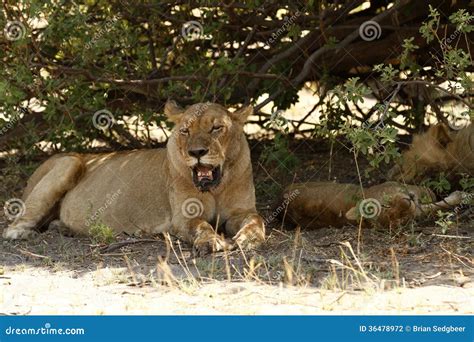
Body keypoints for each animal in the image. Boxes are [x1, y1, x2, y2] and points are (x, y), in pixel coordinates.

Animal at [280, 182, 462, 230]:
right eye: (402, 218)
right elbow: (436, 205)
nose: (407, 201)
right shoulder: (419, 209)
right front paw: (461, 195)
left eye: (385, 205)